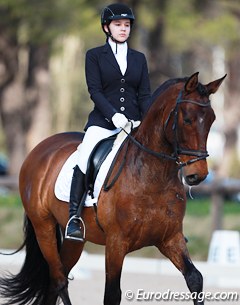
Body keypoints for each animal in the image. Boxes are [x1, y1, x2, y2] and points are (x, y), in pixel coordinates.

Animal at [0, 72, 225, 304]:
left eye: (212, 120)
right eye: (187, 119)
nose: (198, 175)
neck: (151, 176)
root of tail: (40, 149)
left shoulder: (170, 238)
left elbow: (195, 278)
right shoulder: (116, 243)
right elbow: (112, 293)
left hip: (75, 239)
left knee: (56, 281)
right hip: (43, 227)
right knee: (59, 279)